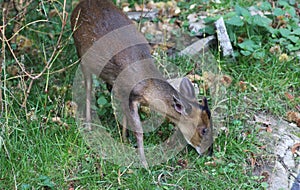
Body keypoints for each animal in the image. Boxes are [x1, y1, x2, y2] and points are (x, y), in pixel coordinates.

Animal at [71, 0, 213, 167]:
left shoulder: (123, 92)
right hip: (81, 53)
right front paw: (144, 162)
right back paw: (88, 125)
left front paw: (125, 139)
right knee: (88, 87)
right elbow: (139, 130)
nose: (209, 152)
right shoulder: (130, 95)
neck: (147, 87)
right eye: (203, 130)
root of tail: (78, 5)